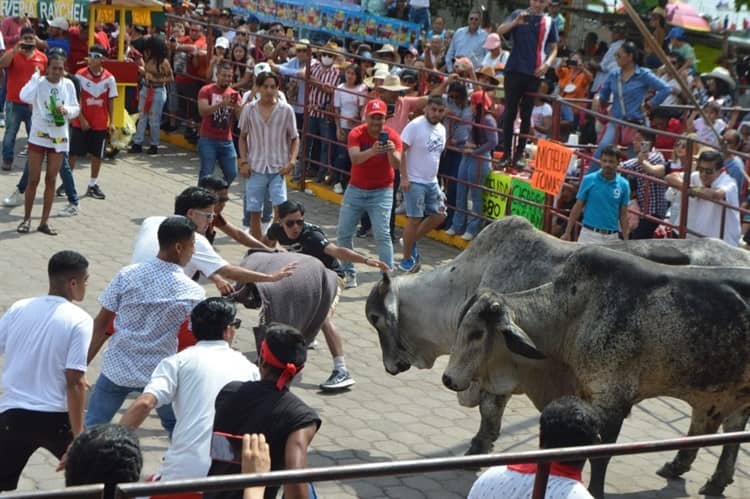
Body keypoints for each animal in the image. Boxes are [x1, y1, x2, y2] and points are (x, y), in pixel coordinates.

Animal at [368, 219, 750, 492]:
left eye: (375, 318)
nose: (390, 366)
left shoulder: (501, 373)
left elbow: (490, 412)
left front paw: (476, 449)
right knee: (717, 424)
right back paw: (691, 469)